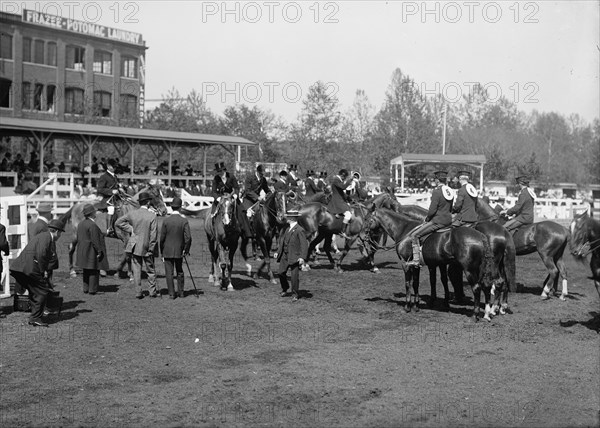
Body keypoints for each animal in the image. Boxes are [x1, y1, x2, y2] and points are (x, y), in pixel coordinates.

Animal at [360, 207, 502, 320]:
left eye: (367, 219)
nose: (361, 236)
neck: (404, 230)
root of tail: (481, 236)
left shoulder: (405, 264)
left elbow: (408, 284)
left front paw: (407, 306)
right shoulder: (416, 266)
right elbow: (416, 284)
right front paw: (416, 306)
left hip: (469, 269)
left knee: (477, 288)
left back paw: (475, 314)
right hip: (480, 269)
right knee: (487, 286)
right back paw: (487, 313)